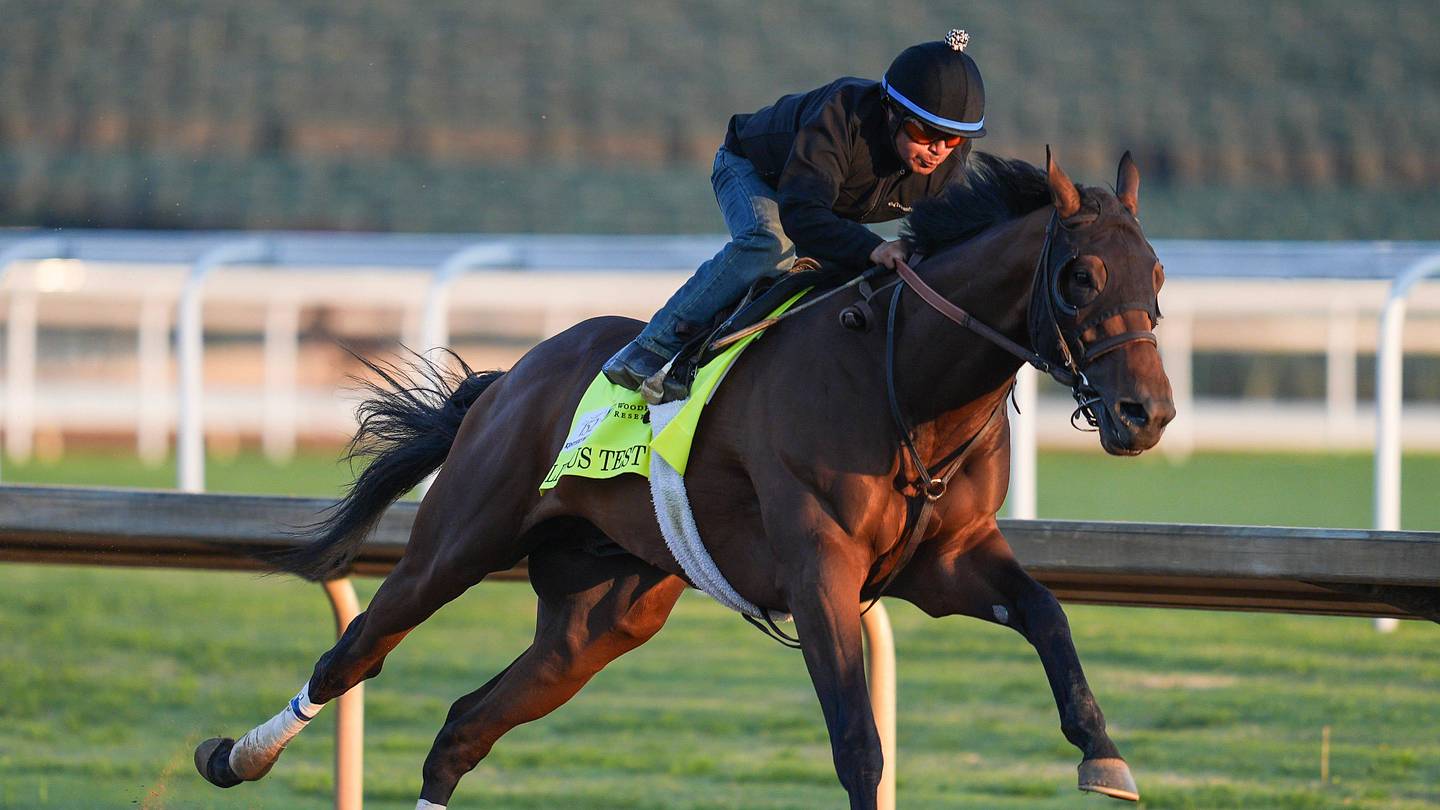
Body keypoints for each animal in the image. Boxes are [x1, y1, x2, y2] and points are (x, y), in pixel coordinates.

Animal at [195, 149, 1174, 809]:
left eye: (1159, 274)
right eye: (1080, 275)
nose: (1147, 414)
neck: (904, 378)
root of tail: (511, 377)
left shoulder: (948, 560)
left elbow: (1046, 614)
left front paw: (1103, 753)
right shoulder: (821, 571)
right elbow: (858, 742)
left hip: (601, 616)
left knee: (464, 726)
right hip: (460, 541)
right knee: (355, 654)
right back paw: (237, 757)